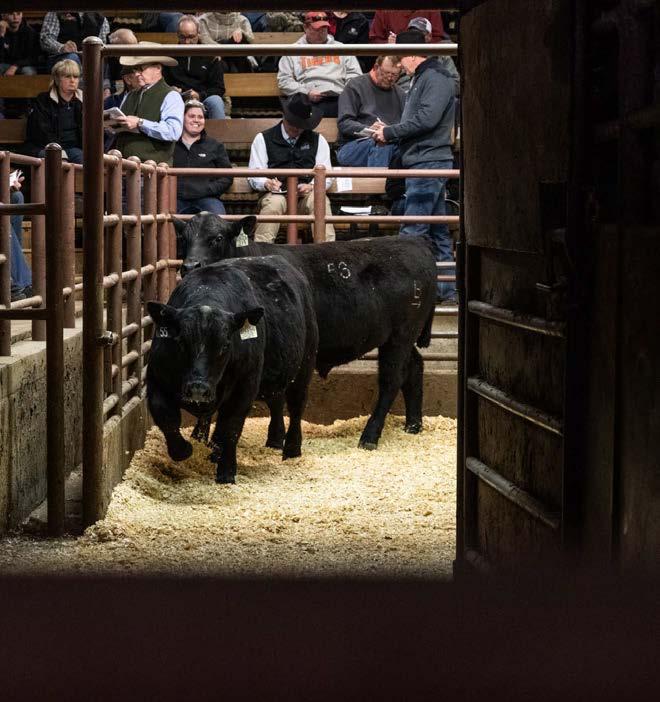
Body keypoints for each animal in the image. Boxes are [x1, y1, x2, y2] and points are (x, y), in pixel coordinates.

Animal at [146, 255, 318, 484]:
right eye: (181, 342)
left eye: (225, 345)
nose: (198, 389)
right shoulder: (156, 379)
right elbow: (166, 417)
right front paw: (185, 449)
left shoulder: (244, 387)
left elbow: (231, 427)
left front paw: (226, 472)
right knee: (275, 403)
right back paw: (270, 440)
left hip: (303, 368)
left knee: (296, 406)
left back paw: (291, 449)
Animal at [173, 213, 437, 450]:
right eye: (183, 238)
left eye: (217, 238)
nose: (190, 266)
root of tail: (416, 242)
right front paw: (199, 436)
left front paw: (275, 439)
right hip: (400, 338)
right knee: (414, 367)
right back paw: (413, 425)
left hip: (400, 336)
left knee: (391, 380)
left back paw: (370, 436)